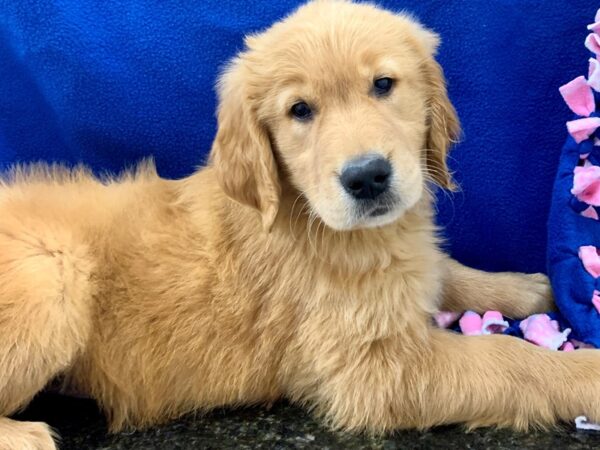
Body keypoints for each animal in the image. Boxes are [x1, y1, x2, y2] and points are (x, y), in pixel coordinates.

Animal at [0, 0, 592, 448]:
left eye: (383, 84)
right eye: (300, 111)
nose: (367, 177)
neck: (311, 215)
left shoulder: (407, 270)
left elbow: (445, 270)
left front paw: (520, 287)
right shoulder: (375, 372)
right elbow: (512, 360)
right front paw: (588, 375)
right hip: (49, 275)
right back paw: (26, 436)